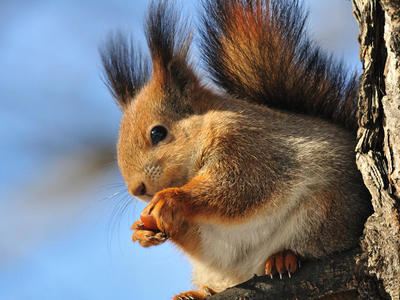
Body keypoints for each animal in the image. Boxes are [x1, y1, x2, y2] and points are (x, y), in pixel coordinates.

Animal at [99, 0, 372, 300]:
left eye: (157, 133)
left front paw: (172, 198)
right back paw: (198, 293)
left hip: (324, 212)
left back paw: (285, 257)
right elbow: (197, 234)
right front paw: (142, 230)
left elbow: (239, 187)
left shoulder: (249, 145)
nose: (137, 189)